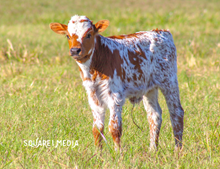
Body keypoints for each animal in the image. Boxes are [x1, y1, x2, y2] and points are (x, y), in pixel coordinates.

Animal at [49, 15, 184, 151]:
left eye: (89, 34)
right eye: (67, 36)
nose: (75, 50)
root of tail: (161, 31)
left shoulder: (115, 95)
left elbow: (114, 128)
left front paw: (118, 153)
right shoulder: (93, 95)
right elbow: (97, 129)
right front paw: (98, 153)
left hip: (169, 80)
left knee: (176, 113)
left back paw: (177, 150)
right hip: (149, 88)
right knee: (154, 116)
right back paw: (152, 150)